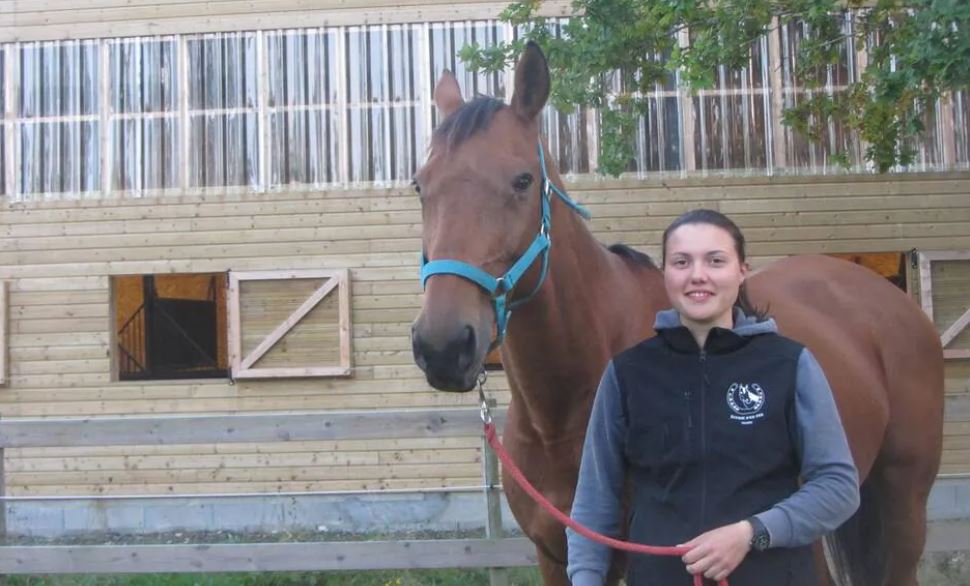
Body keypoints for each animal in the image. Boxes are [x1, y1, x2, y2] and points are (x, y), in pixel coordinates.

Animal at [408, 42, 936, 584]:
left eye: (522, 181)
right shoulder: (557, 555)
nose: (443, 346)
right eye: (420, 186)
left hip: (900, 507)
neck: (561, 412)